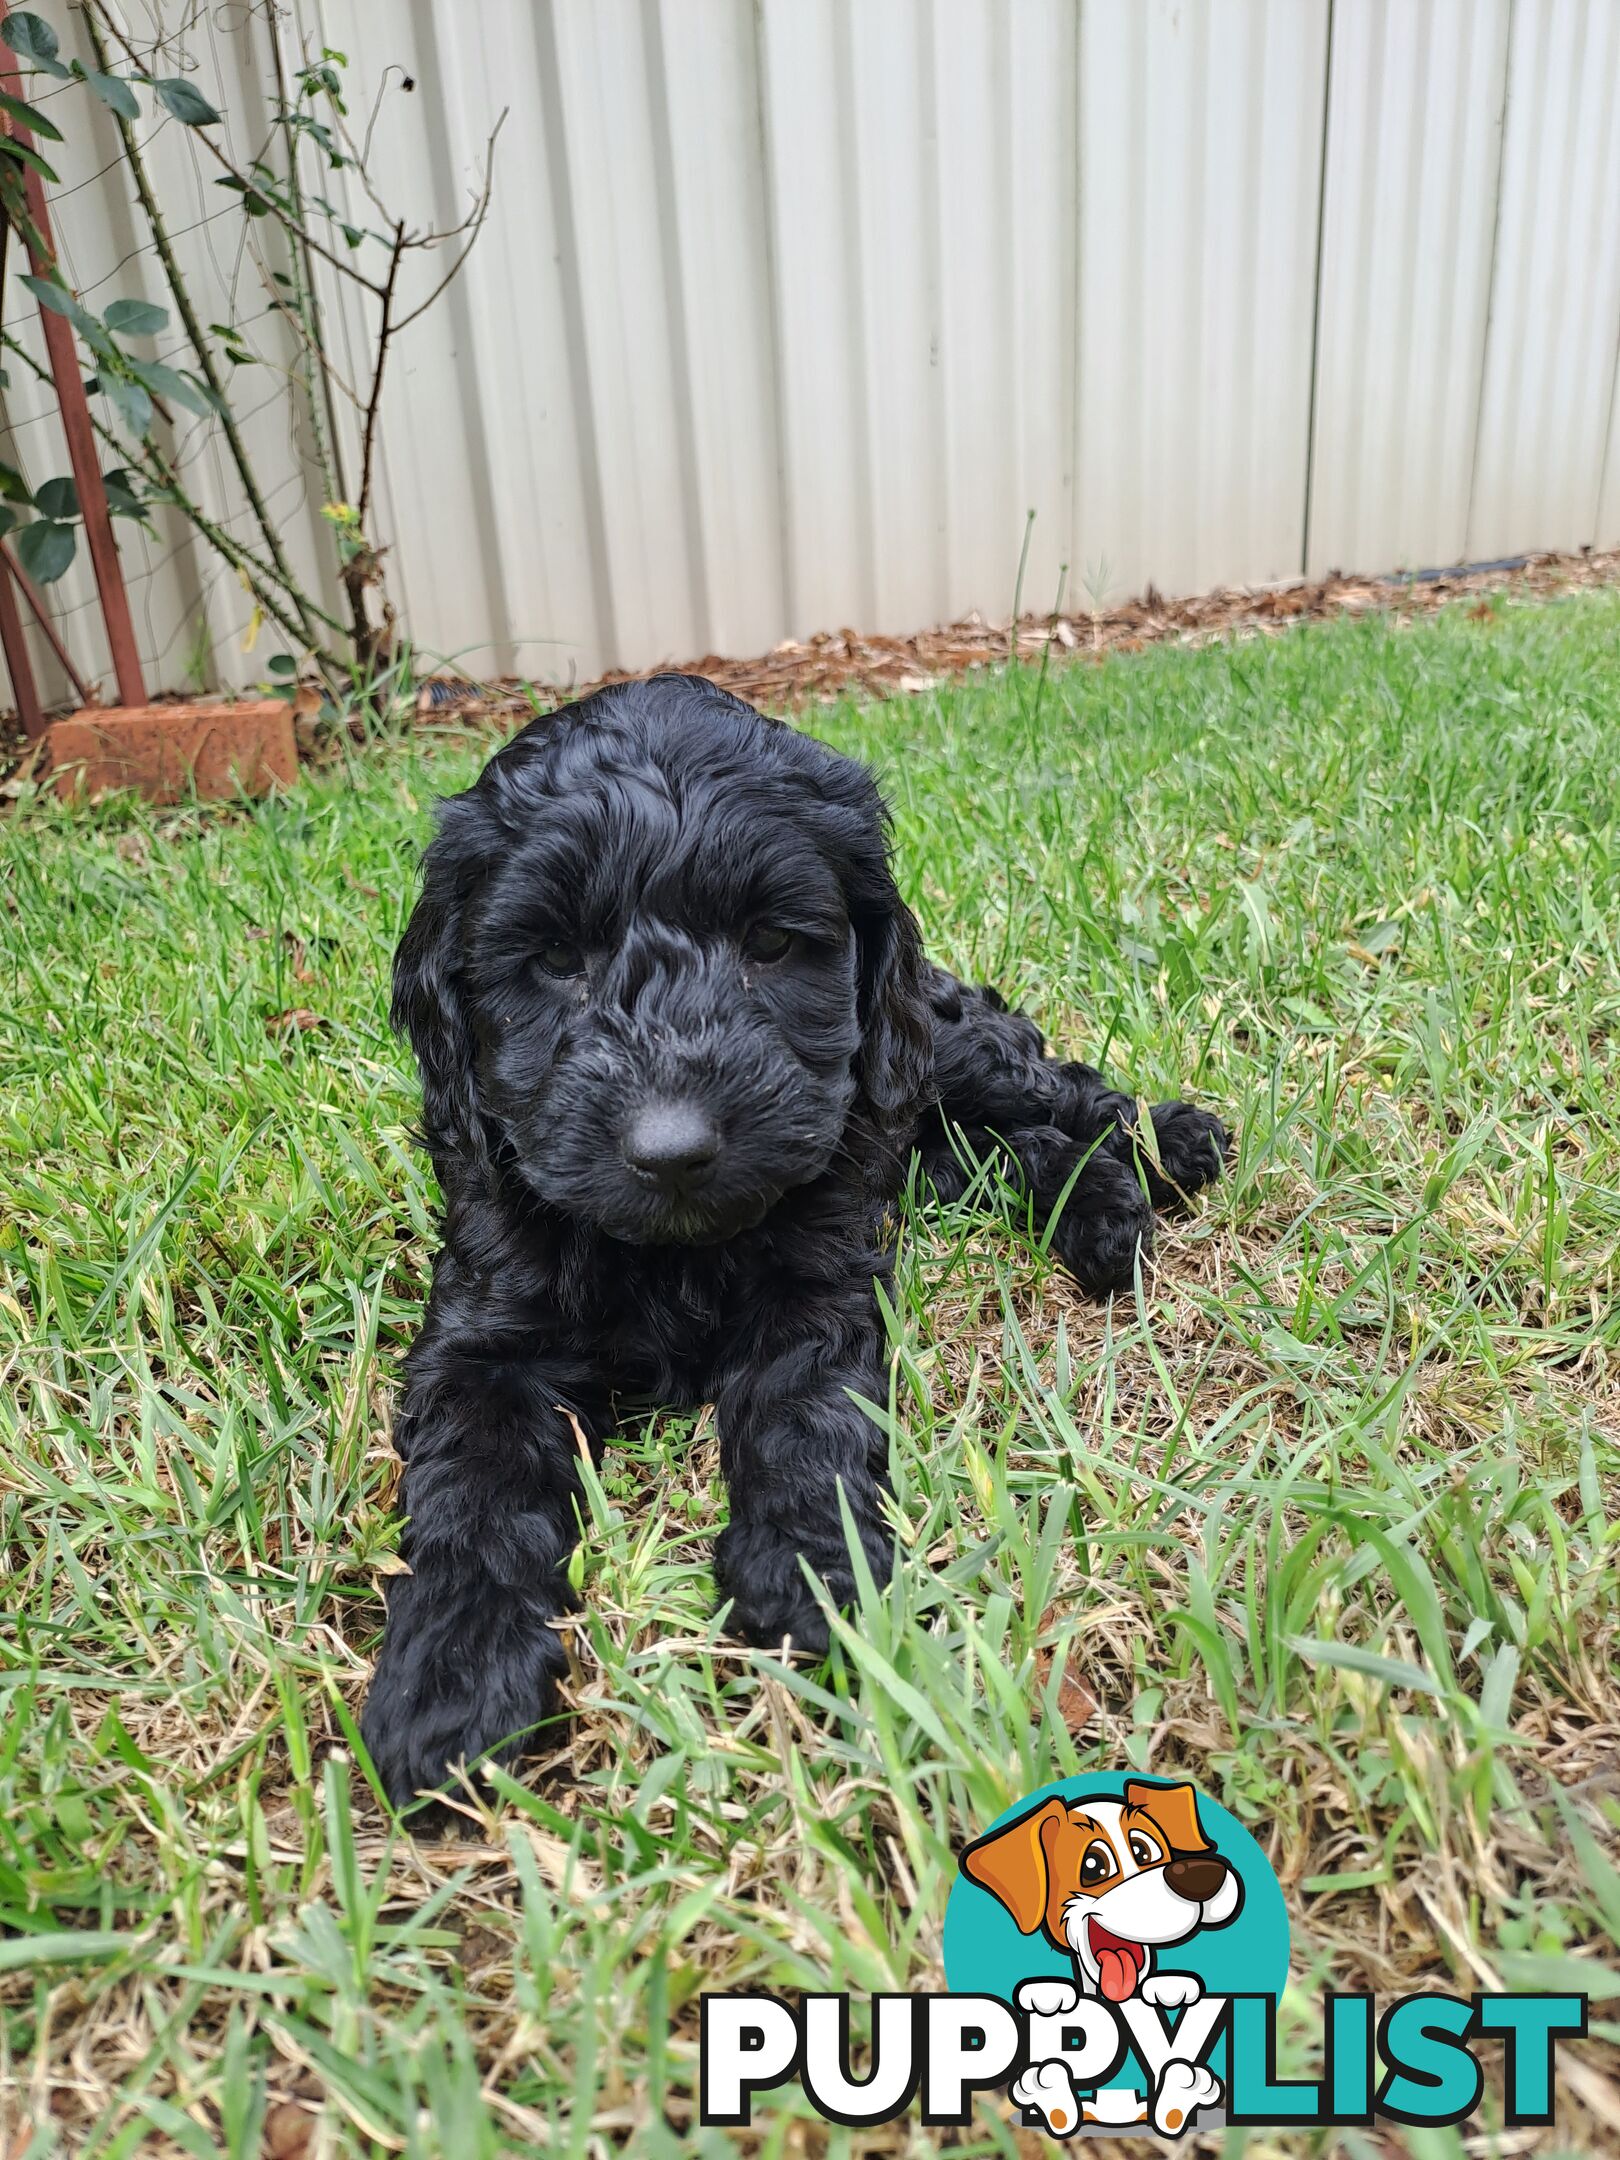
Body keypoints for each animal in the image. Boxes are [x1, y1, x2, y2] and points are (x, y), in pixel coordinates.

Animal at [365, 682, 1226, 1797]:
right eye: (554, 960)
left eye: (770, 945)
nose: (673, 1150)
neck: (673, 1250)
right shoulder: (482, 1334)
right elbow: (475, 1485)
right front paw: (453, 1674)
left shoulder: (817, 1282)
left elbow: (802, 1411)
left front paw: (810, 1577)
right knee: (996, 1149)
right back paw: (1103, 1211)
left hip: (939, 1044)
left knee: (1059, 1090)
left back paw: (1166, 1148)